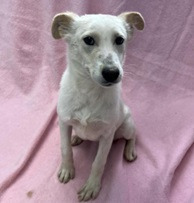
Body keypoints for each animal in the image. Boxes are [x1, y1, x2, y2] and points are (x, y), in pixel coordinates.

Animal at [51, 12, 144, 201]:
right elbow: (65, 149)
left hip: (126, 126)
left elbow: (99, 162)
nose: (112, 73)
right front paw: (67, 169)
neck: (89, 92)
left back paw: (130, 150)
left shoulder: (107, 135)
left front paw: (92, 186)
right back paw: (76, 137)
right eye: (88, 40)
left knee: (133, 135)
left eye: (120, 40)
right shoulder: (63, 122)